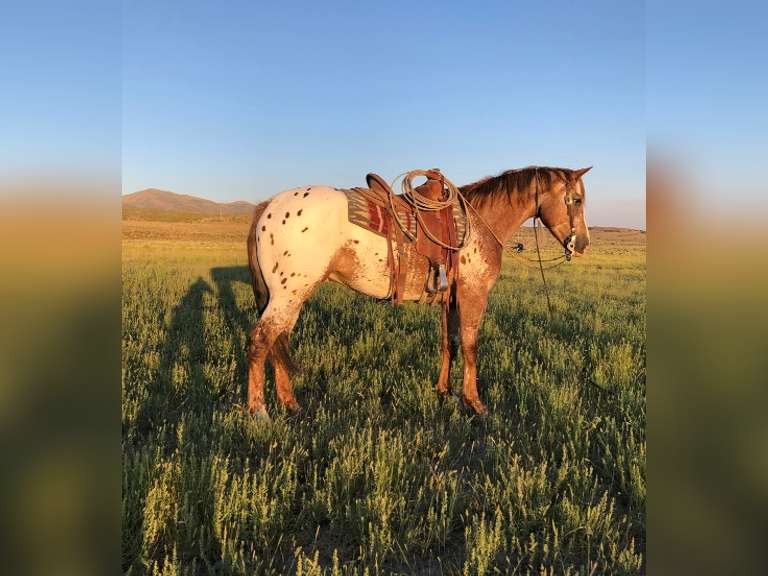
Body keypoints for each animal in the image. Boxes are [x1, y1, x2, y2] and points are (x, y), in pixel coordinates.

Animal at [245, 166, 592, 419]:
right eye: (576, 200)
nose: (584, 244)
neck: (481, 224)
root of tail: (268, 206)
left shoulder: (450, 299)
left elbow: (449, 343)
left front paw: (444, 392)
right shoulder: (473, 294)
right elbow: (470, 346)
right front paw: (475, 404)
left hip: (292, 297)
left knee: (278, 341)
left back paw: (291, 404)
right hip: (288, 296)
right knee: (260, 341)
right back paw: (259, 413)